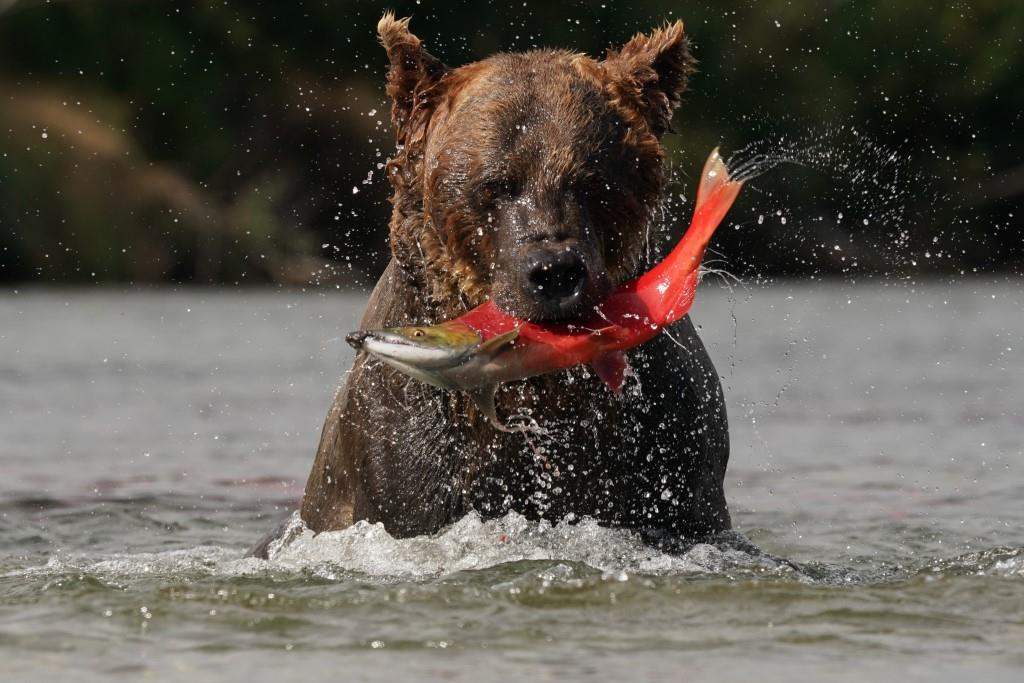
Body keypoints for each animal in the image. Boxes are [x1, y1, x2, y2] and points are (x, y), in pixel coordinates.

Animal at [252, 14, 733, 557]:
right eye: (496, 184)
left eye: (594, 181)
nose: (554, 271)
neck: (540, 381)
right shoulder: (404, 448)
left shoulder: (666, 444)